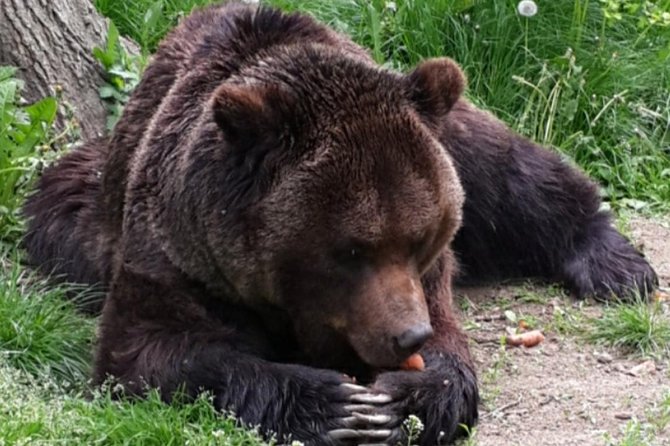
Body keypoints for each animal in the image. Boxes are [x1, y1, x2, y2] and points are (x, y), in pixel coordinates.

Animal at [23, 2, 657, 445]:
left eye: (419, 239)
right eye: (351, 250)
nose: (409, 336)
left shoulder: (430, 277)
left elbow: (451, 355)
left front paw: (403, 399)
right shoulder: (178, 254)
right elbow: (150, 350)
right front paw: (334, 405)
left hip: (447, 127)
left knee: (507, 170)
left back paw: (616, 264)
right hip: (80, 215)